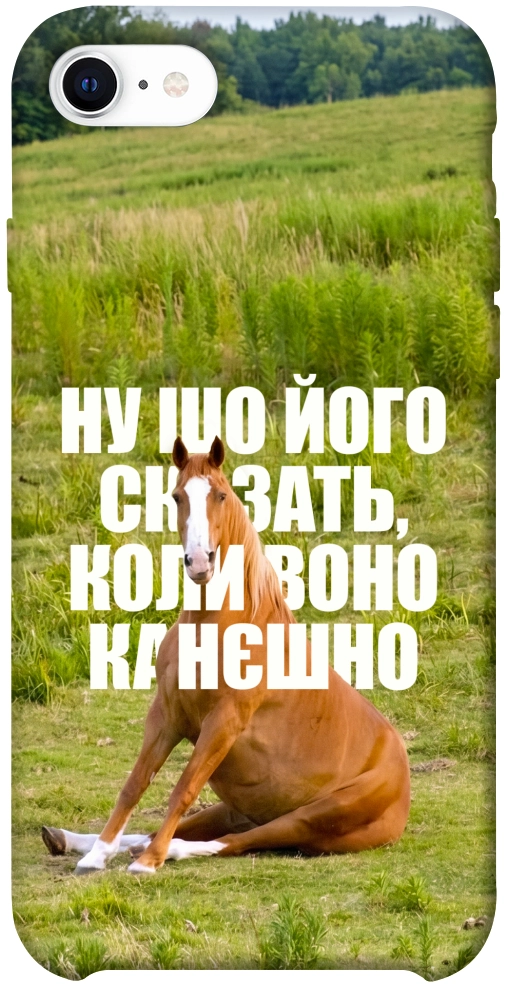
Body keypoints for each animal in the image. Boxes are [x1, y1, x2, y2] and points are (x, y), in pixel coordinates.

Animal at [42, 436, 410, 874]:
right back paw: (71, 839)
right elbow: (135, 783)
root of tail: (402, 782)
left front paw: (148, 863)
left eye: (220, 495)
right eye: (177, 496)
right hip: (237, 807)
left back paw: (163, 851)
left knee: (238, 842)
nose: (199, 562)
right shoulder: (166, 714)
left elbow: (182, 789)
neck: (218, 627)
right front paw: (97, 854)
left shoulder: (223, 723)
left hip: (309, 819)